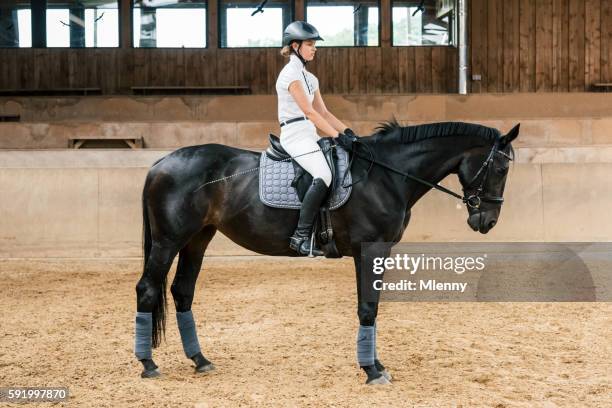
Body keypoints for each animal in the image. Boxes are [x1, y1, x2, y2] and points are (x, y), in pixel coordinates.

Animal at [134, 119, 520, 384]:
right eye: (501, 168)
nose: (487, 221)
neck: (386, 175)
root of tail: (161, 162)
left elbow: (372, 308)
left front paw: (376, 366)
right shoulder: (371, 250)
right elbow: (368, 308)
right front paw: (371, 371)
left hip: (198, 238)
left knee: (182, 291)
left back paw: (200, 360)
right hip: (169, 241)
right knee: (147, 289)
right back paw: (149, 364)